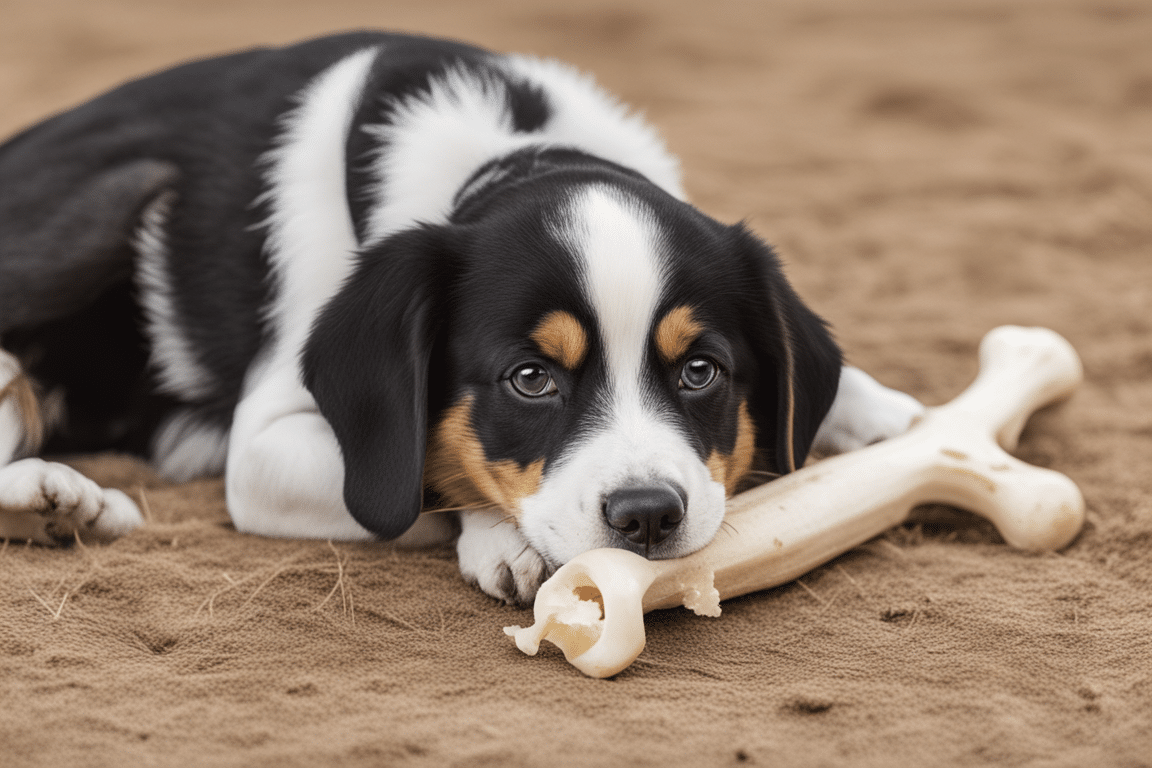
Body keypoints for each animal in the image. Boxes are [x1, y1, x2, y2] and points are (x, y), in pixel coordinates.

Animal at [0, 31, 916, 607]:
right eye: (530, 379)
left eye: (701, 372)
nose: (649, 515)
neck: (514, 145)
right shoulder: (265, 452)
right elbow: (418, 483)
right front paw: (500, 541)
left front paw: (891, 421)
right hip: (111, 201)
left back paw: (63, 507)